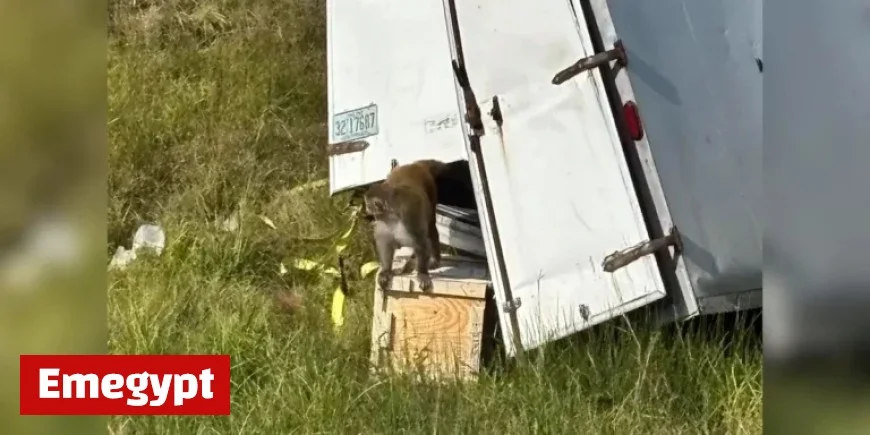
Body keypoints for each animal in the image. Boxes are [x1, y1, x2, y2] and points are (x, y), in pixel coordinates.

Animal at [363, 159, 447, 292]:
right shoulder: (383, 221)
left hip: (430, 188)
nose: (366, 208)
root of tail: (414, 165)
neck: (392, 215)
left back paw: (434, 260)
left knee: (431, 227)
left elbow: (421, 242)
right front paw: (386, 271)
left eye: (368, 204)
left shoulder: (409, 215)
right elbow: (385, 243)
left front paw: (422, 273)